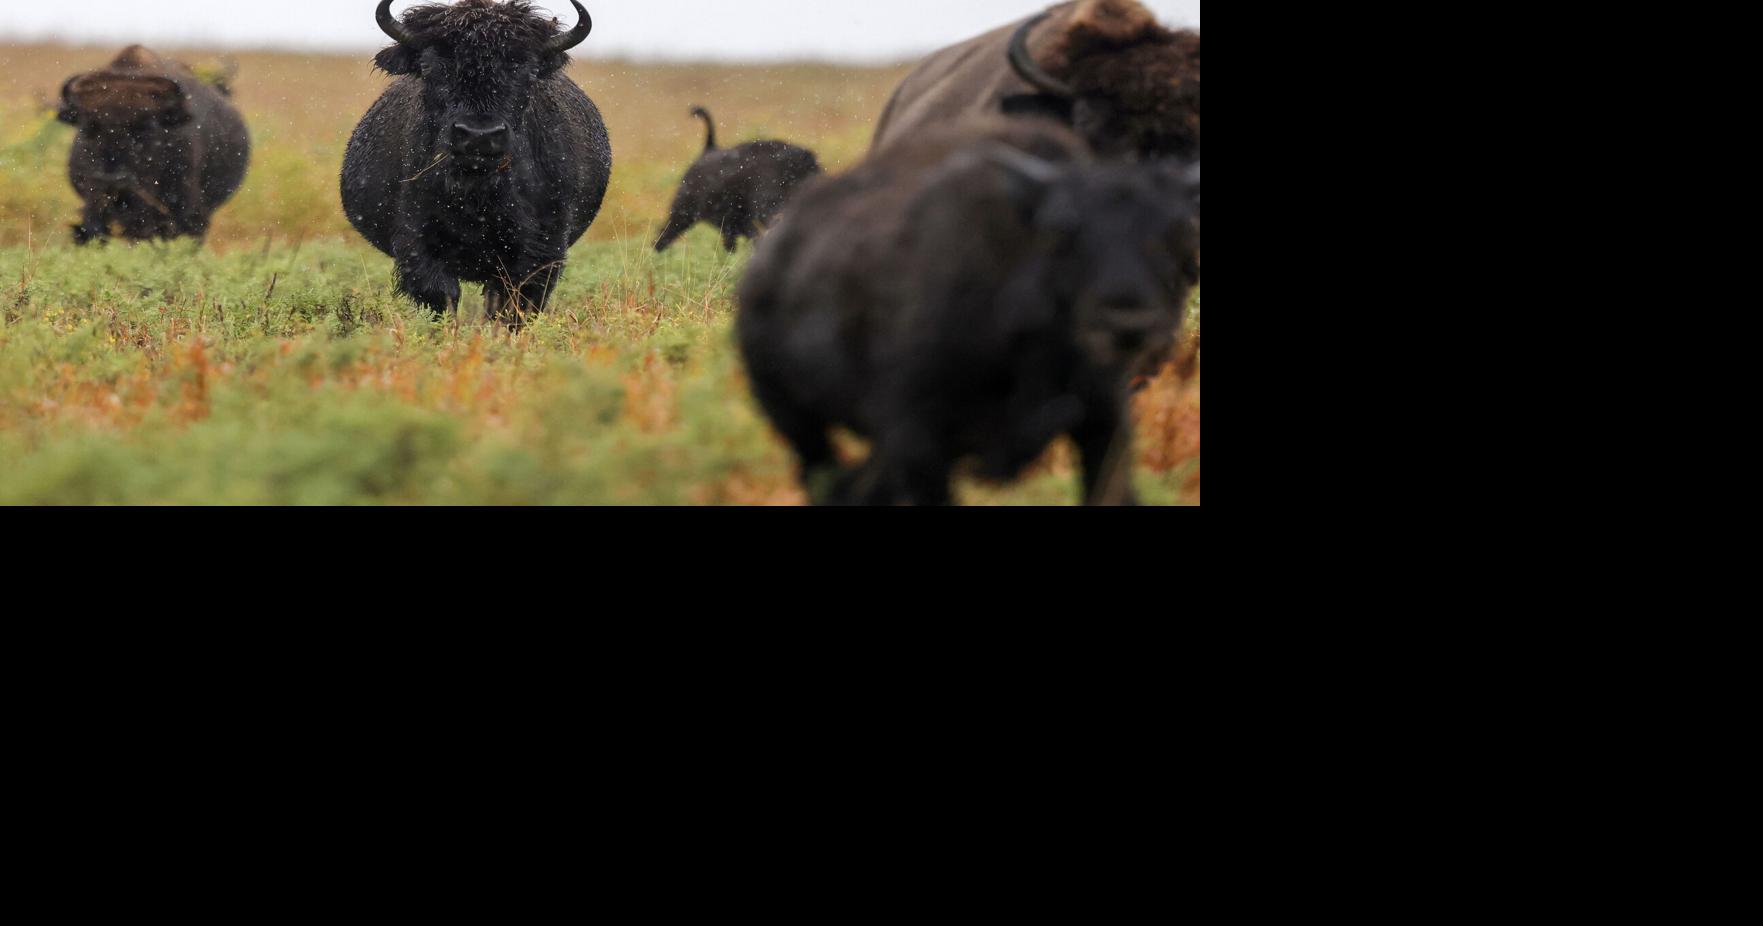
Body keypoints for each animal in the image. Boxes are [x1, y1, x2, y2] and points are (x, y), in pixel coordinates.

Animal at [341, 0, 612, 327]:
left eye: (529, 71)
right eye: (429, 67)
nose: (479, 135)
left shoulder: (539, 252)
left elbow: (512, 305)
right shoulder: (419, 247)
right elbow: (443, 297)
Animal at [737, 119, 1201, 506]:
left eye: (1177, 231)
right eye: (1060, 230)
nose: (1128, 321)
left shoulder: (1104, 424)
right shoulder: (918, 443)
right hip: (798, 422)